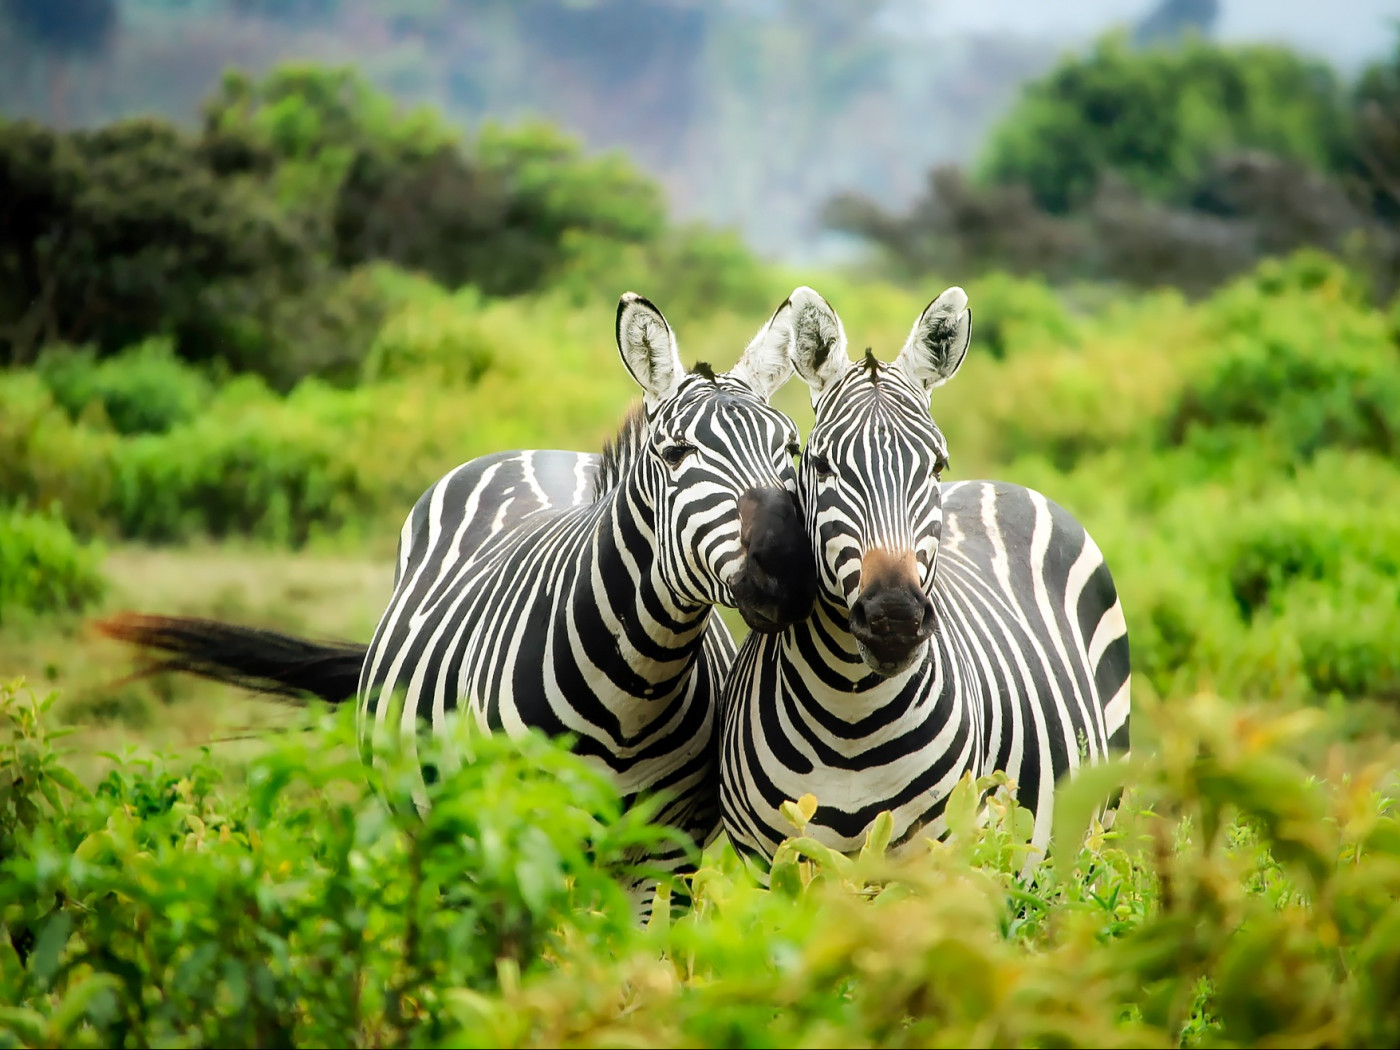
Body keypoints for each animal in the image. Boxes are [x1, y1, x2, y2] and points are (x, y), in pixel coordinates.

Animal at [98, 290, 819, 918]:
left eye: (791, 448)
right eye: (676, 453)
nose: (788, 569)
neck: (634, 690)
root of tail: (536, 451)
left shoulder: (662, 856)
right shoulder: (511, 839)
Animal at [718, 285, 1131, 880]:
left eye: (936, 466)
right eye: (820, 465)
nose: (894, 619)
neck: (849, 716)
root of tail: (999, 483)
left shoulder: (938, 863)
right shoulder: (772, 866)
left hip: (1093, 829)